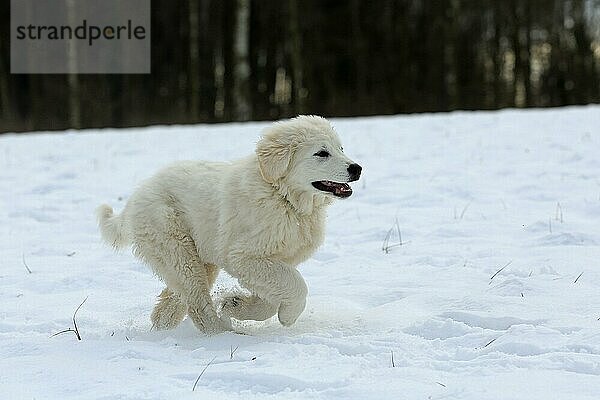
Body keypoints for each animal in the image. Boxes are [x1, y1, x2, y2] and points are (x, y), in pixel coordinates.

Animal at [97, 116, 360, 334]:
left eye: (341, 148)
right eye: (322, 153)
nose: (357, 168)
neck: (283, 197)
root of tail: (136, 197)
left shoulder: (275, 261)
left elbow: (270, 298)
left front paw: (235, 304)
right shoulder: (244, 256)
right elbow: (295, 284)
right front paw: (288, 316)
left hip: (198, 257)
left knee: (173, 301)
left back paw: (163, 330)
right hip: (178, 251)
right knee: (197, 302)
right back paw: (222, 333)